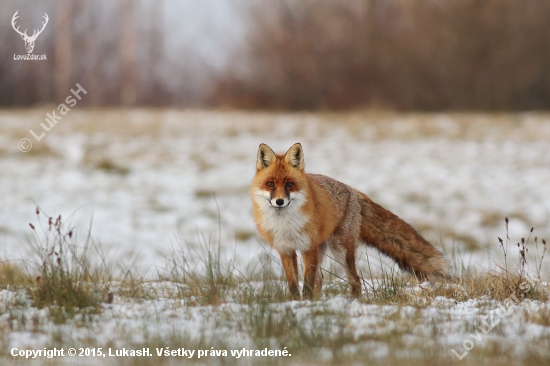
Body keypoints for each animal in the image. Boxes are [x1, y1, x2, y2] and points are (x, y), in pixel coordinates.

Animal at [252, 142, 450, 298]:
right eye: (270, 184)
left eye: (289, 184)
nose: (279, 201)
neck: (285, 225)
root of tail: (352, 190)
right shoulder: (285, 249)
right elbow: (293, 285)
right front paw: (296, 304)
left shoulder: (308, 248)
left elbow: (307, 284)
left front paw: (305, 305)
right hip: (324, 249)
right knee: (321, 279)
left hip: (340, 249)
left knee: (355, 280)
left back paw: (352, 302)